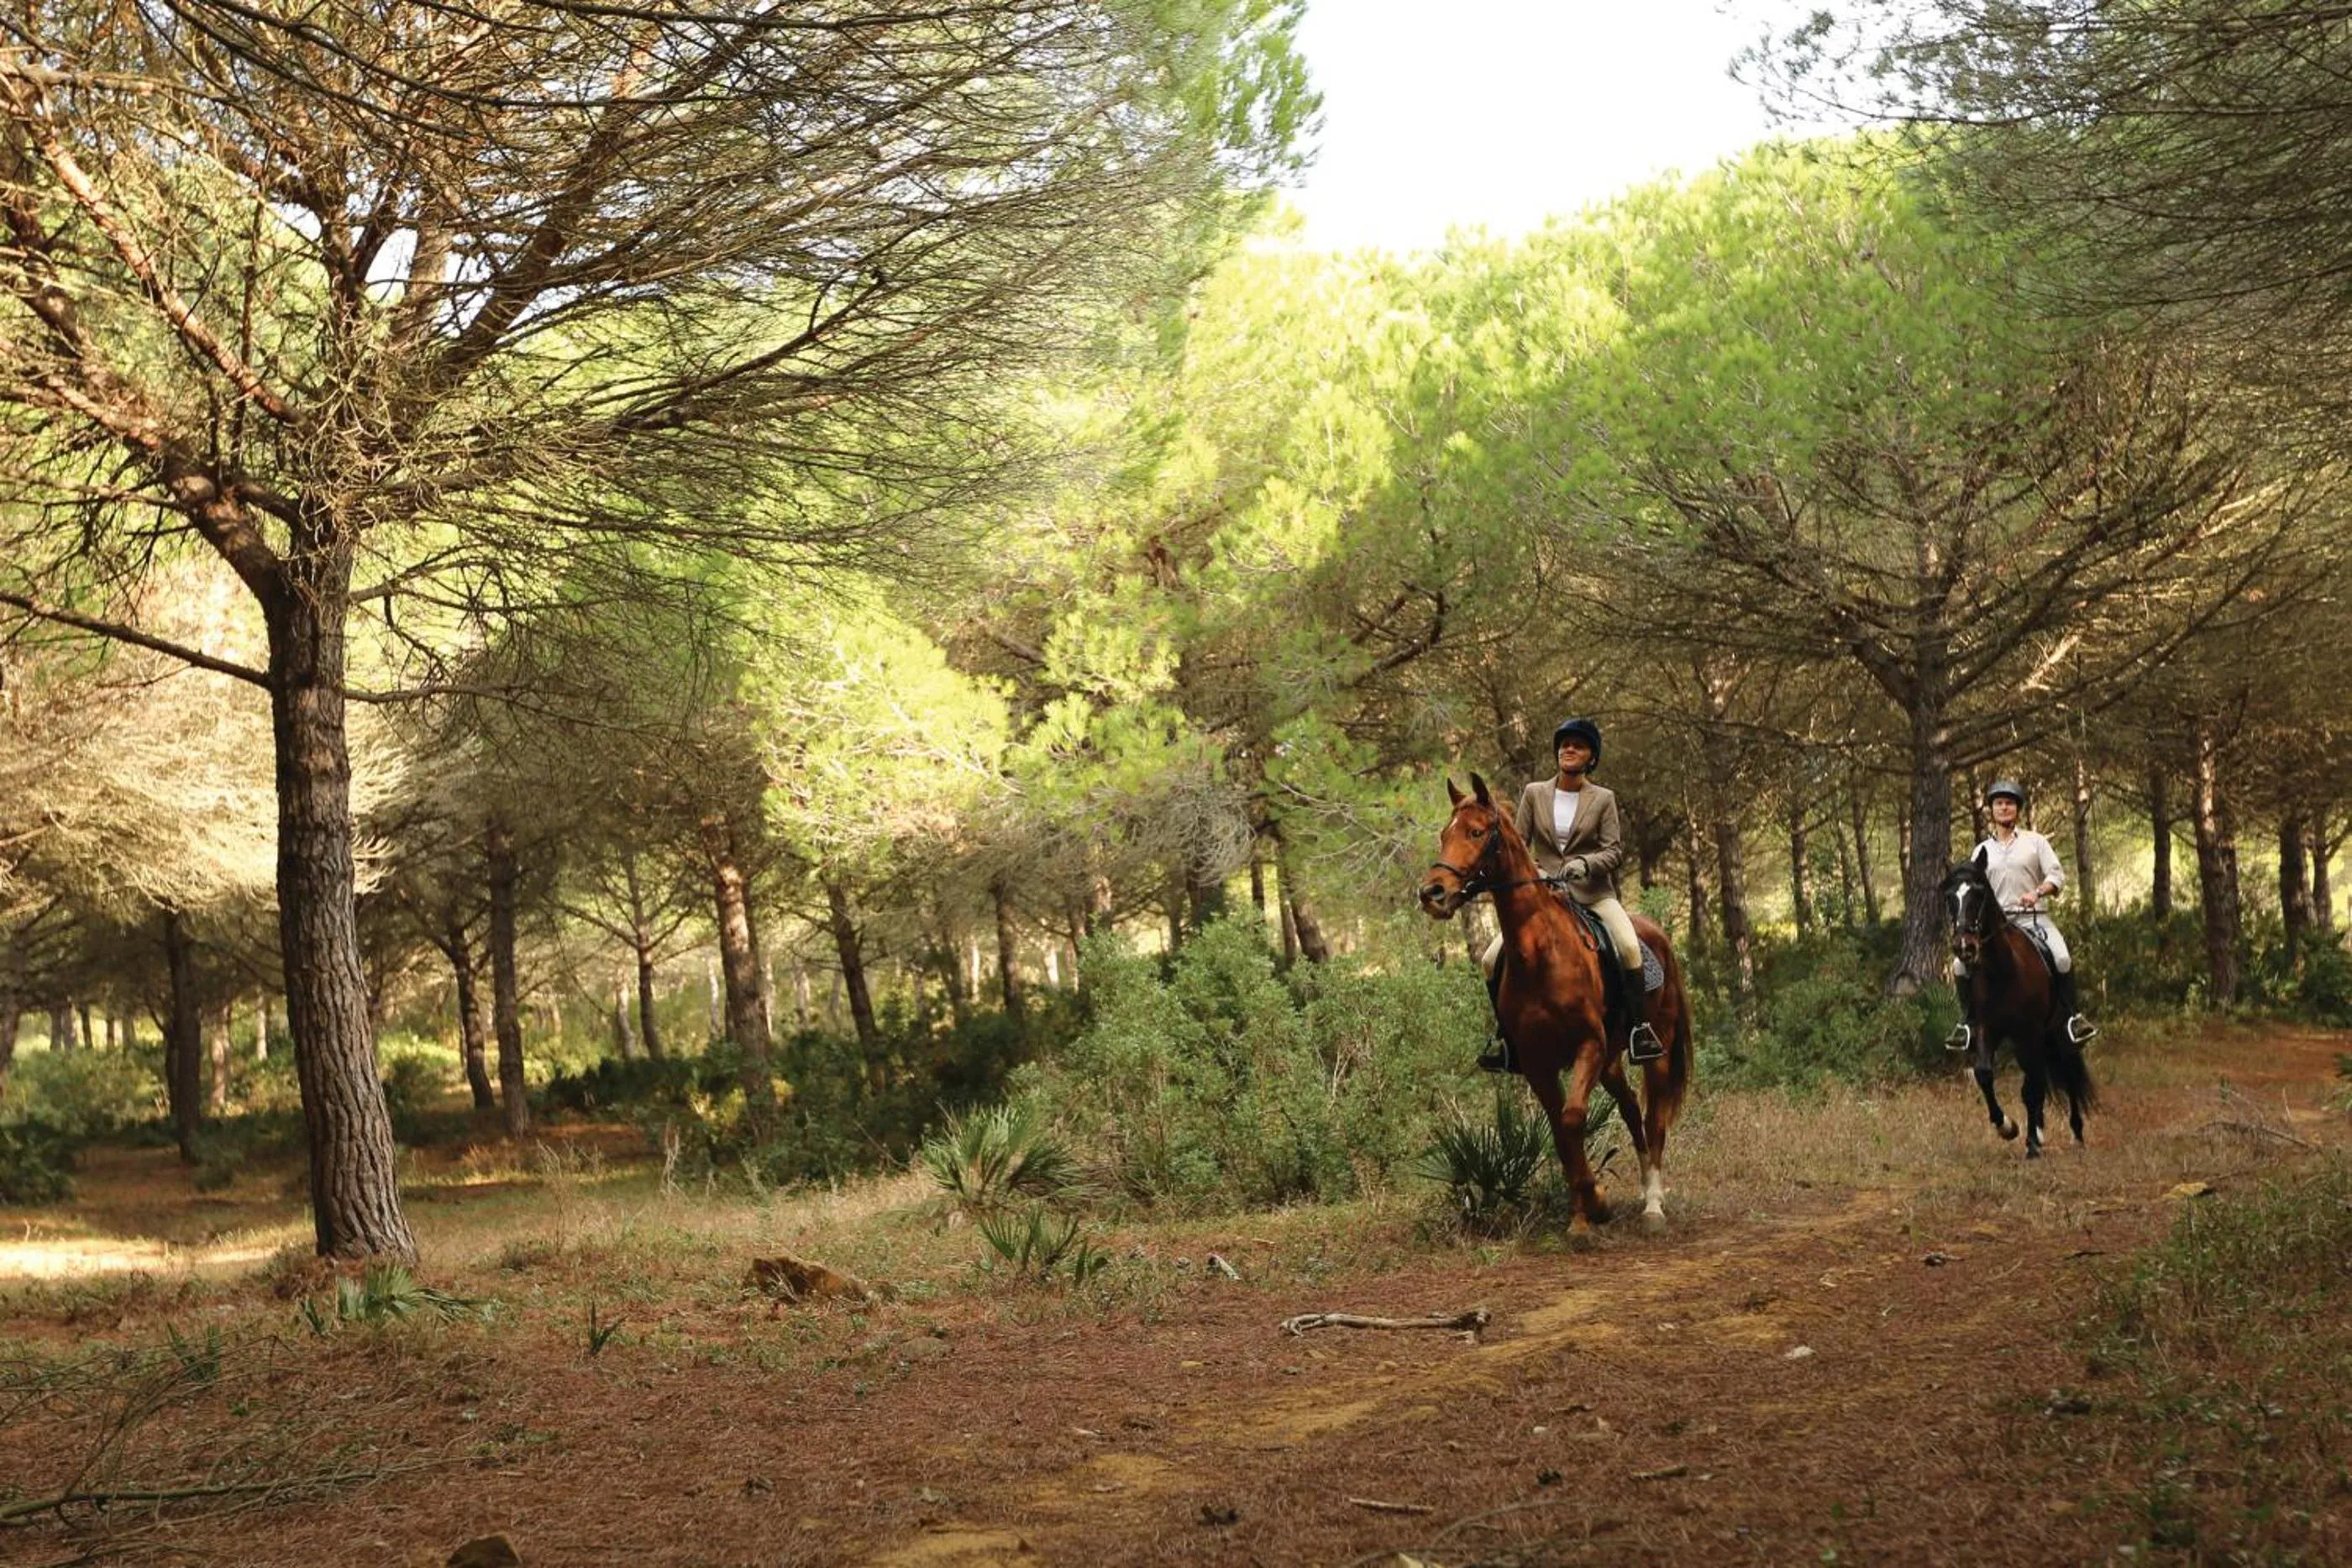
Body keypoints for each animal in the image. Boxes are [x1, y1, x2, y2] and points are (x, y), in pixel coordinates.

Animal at [1418, 772, 1694, 1230]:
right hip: (1611, 1060)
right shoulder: (1537, 1061)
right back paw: (1641, 1188)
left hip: (1655, 1049)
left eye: (1476, 832)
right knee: (1630, 1109)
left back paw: (1653, 1204)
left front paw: (1595, 1202)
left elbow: (1573, 1118)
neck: (1541, 954)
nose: (1432, 893)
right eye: (1444, 834)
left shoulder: (1587, 1046)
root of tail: (1657, 933)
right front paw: (1583, 1213)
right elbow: (1560, 1131)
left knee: (1653, 1118)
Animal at [1942, 857, 2096, 1158]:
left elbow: (2031, 1088)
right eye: (1950, 897)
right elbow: (1984, 1074)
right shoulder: (1988, 1028)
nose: (1965, 946)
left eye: (1979, 893)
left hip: (2055, 1032)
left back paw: (2076, 1133)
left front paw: (2032, 1143)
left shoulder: (2030, 1032)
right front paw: (2007, 1127)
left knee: (2065, 1072)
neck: (2002, 971)